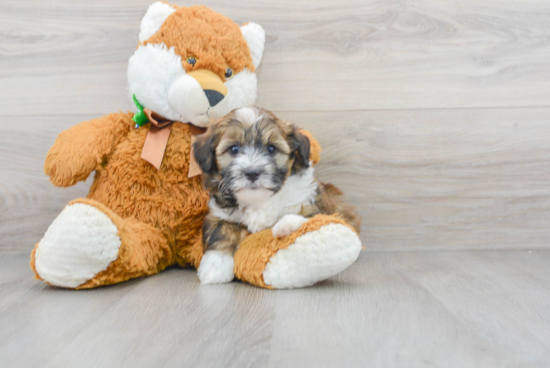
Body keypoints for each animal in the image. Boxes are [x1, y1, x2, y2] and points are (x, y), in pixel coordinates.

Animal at [194, 106, 362, 284]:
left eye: (271, 149)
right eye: (234, 149)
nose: (252, 173)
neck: (259, 199)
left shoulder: (313, 203)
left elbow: (310, 217)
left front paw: (286, 225)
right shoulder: (218, 213)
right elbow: (223, 230)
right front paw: (216, 264)